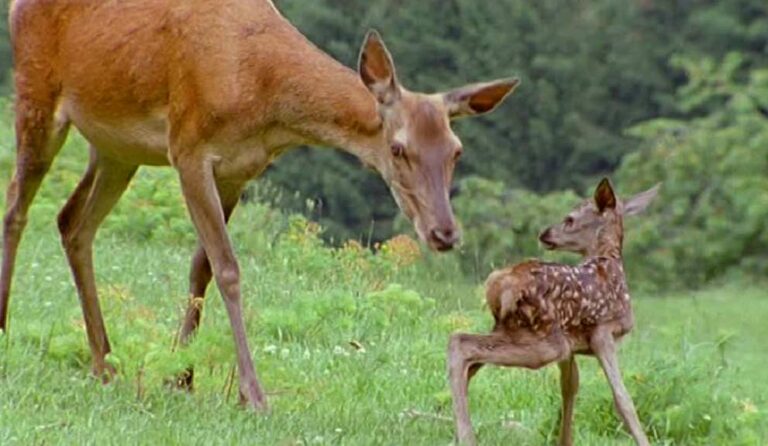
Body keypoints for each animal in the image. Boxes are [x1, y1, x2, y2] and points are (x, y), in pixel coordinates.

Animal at [3, 0, 520, 412]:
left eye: (456, 151)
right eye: (398, 149)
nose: (444, 233)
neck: (262, 98)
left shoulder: (239, 169)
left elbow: (201, 267)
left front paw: (181, 376)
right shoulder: (188, 147)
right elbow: (229, 268)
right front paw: (251, 393)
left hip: (115, 149)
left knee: (73, 222)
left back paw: (104, 363)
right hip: (37, 93)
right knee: (17, 208)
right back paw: (9, 329)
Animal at [448, 179, 656, 446]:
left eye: (570, 219)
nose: (544, 234)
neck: (610, 262)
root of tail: (499, 283)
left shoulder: (572, 346)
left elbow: (569, 388)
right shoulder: (602, 332)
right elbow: (623, 399)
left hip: (514, 330)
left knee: (468, 361)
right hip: (543, 339)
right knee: (459, 343)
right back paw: (466, 437)